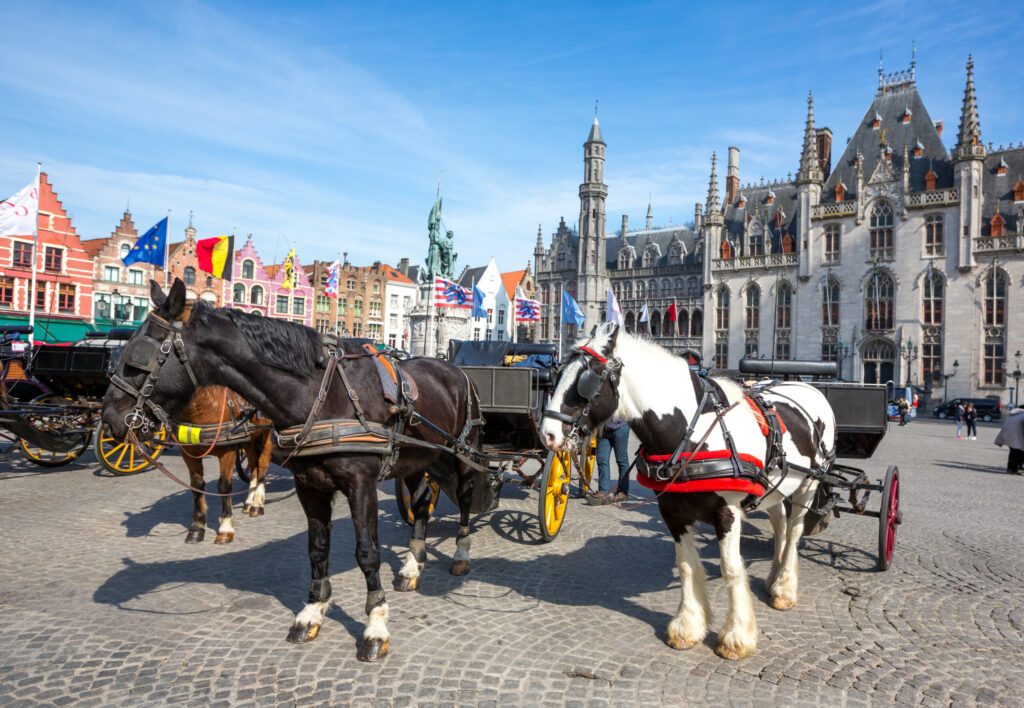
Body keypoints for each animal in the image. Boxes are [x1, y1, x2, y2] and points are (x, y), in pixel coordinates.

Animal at [103, 280, 487, 663]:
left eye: (139, 357)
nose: (108, 419)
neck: (321, 394)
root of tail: (453, 370)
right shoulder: (309, 485)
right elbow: (316, 547)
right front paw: (312, 612)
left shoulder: (361, 485)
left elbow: (367, 552)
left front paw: (376, 627)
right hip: (418, 460)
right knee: (421, 504)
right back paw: (411, 566)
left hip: (462, 455)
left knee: (467, 497)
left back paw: (461, 555)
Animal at [540, 325, 835, 659]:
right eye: (558, 374)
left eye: (586, 381)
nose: (548, 434)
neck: (690, 433)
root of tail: (805, 386)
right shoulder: (672, 512)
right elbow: (686, 565)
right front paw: (688, 627)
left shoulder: (727, 512)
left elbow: (731, 568)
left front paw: (736, 637)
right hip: (776, 487)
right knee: (781, 527)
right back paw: (774, 579)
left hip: (808, 484)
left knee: (795, 529)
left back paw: (784, 588)